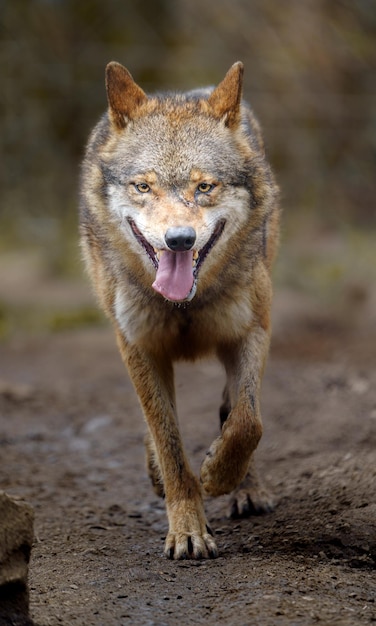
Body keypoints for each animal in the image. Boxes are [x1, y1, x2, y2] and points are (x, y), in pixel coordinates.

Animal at [79, 61, 280, 560]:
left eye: (204, 186)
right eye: (143, 186)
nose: (179, 240)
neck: (184, 304)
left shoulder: (252, 330)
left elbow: (248, 421)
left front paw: (219, 476)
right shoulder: (138, 347)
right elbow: (168, 440)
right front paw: (188, 530)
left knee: (232, 407)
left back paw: (247, 489)